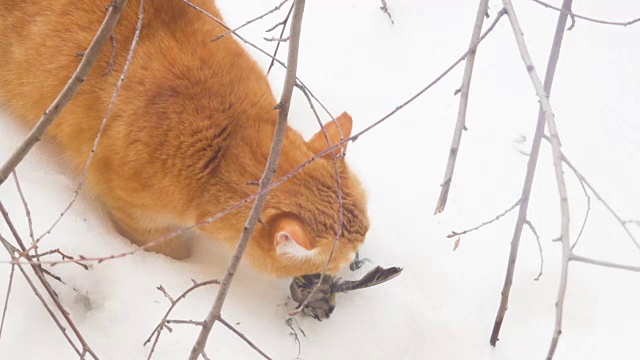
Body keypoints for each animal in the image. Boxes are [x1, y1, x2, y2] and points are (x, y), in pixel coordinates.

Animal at [0, 0, 370, 278]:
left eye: (364, 236)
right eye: (341, 257)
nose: (355, 262)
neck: (227, 140)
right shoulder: (135, 213)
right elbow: (165, 248)